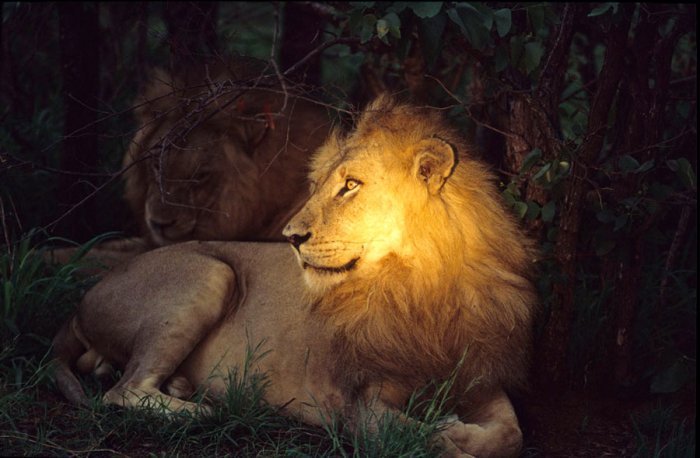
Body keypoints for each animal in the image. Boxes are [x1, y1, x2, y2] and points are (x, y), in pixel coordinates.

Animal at [52, 95, 537, 457]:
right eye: (319, 185)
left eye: (351, 185)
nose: (290, 236)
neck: (420, 289)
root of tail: (79, 303)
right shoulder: (360, 405)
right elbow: (420, 437)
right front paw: (444, 430)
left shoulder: (480, 378)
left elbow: (510, 434)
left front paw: (456, 425)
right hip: (209, 273)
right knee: (124, 391)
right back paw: (210, 409)